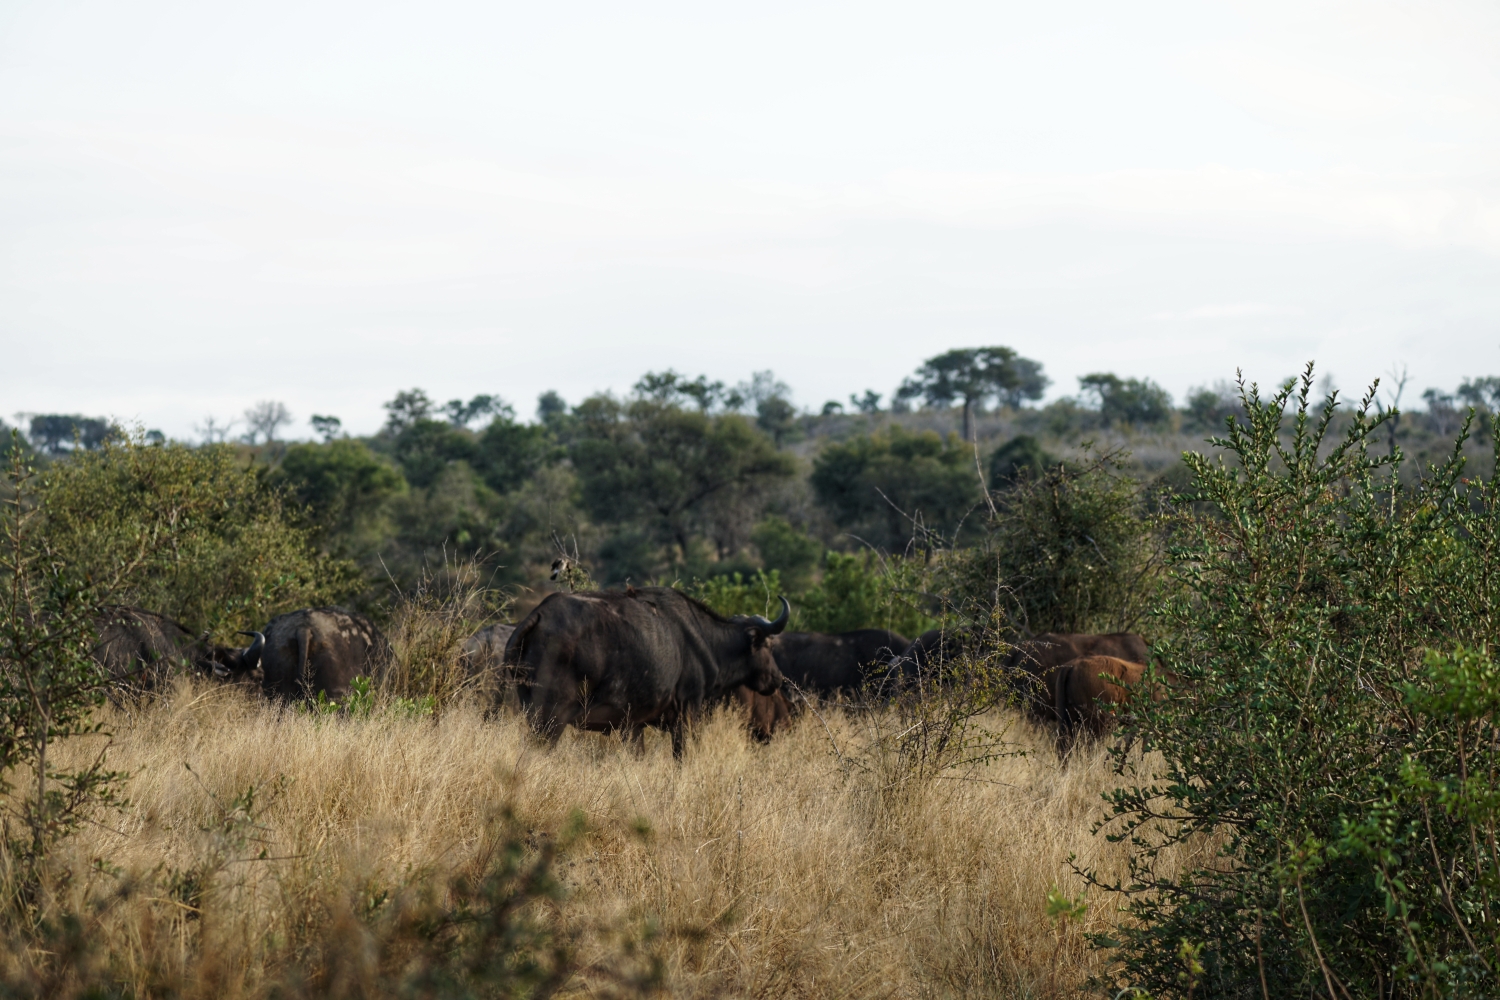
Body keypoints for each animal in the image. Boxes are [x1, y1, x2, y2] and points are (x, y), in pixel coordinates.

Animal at [507, 587, 792, 758]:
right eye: (768, 645)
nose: (778, 678)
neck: (706, 639)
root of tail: (540, 614)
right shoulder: (687, 714)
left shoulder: (633, 725)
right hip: (550, 719)